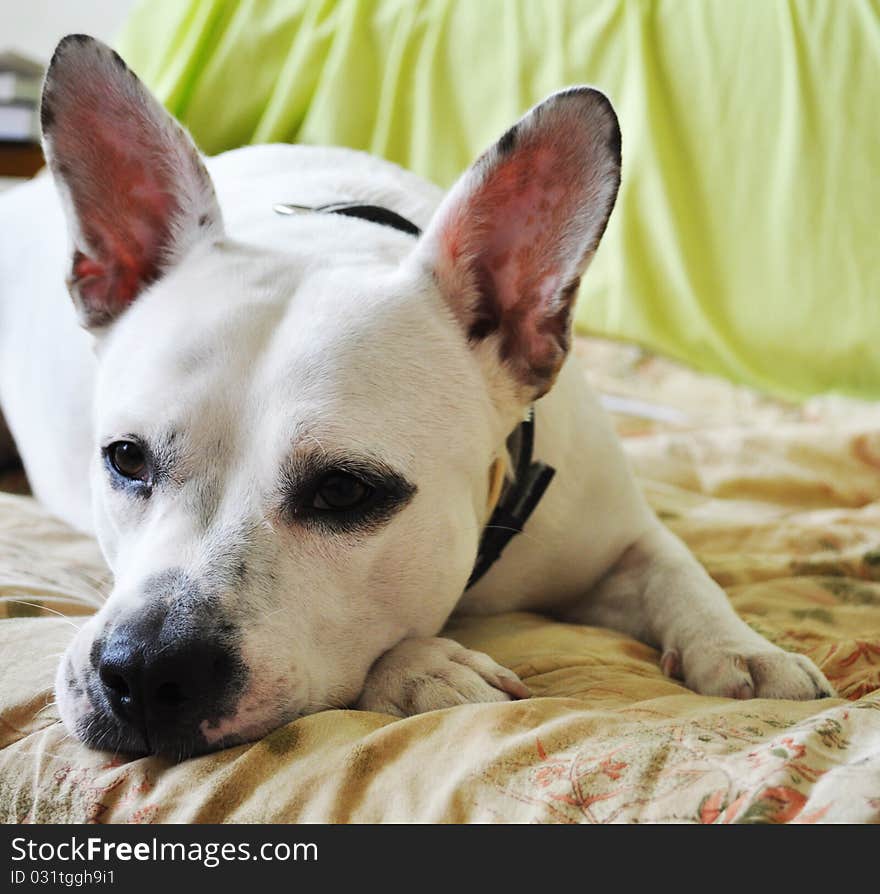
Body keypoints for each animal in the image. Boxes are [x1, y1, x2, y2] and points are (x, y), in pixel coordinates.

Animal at [0, 38, 832, 760]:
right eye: (124, 459)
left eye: (343, 491)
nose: (145, 670)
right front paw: (424, 665)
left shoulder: (620, 538)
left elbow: (680, 573)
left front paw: (743, 647)